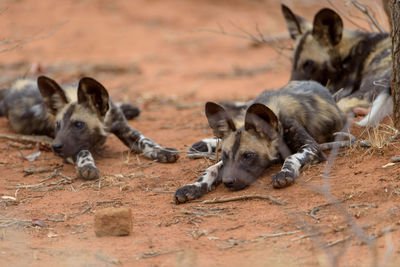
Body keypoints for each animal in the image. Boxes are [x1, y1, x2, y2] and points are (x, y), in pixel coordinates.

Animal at [0, 76, 178, 180]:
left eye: (78, 124)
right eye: (58, 125)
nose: (55, 147)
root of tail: (10, 88)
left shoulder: (125, 129)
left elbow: (145, 141)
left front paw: (162, 151)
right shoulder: (70, 149)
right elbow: (83, 151)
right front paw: (88, 167)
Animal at [173, 80, 346, 204]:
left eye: (248, 156)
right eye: (225, 156)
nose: (227, 182)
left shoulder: (312, 148)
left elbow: (292, 157)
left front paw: (284, 173)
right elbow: (211, 169)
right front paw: (192, 187)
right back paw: (204, 144)